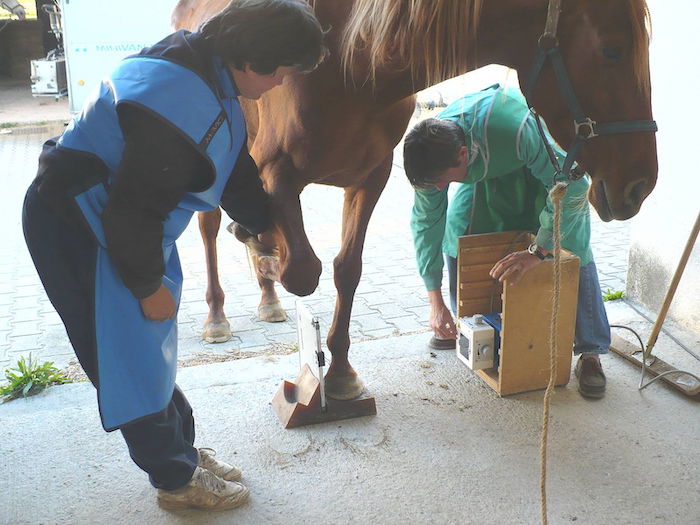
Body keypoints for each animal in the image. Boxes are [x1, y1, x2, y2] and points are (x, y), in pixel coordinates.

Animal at [172, 0, 658, 401]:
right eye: (613, 51)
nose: (642, 185)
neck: (350, 63)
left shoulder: (371, 179)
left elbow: (345, 270)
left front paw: (342, 372)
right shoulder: (276, 173)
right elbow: (303, 271)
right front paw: (265, 253)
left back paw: (267, 292)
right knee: (210, 230)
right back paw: (218, 314)